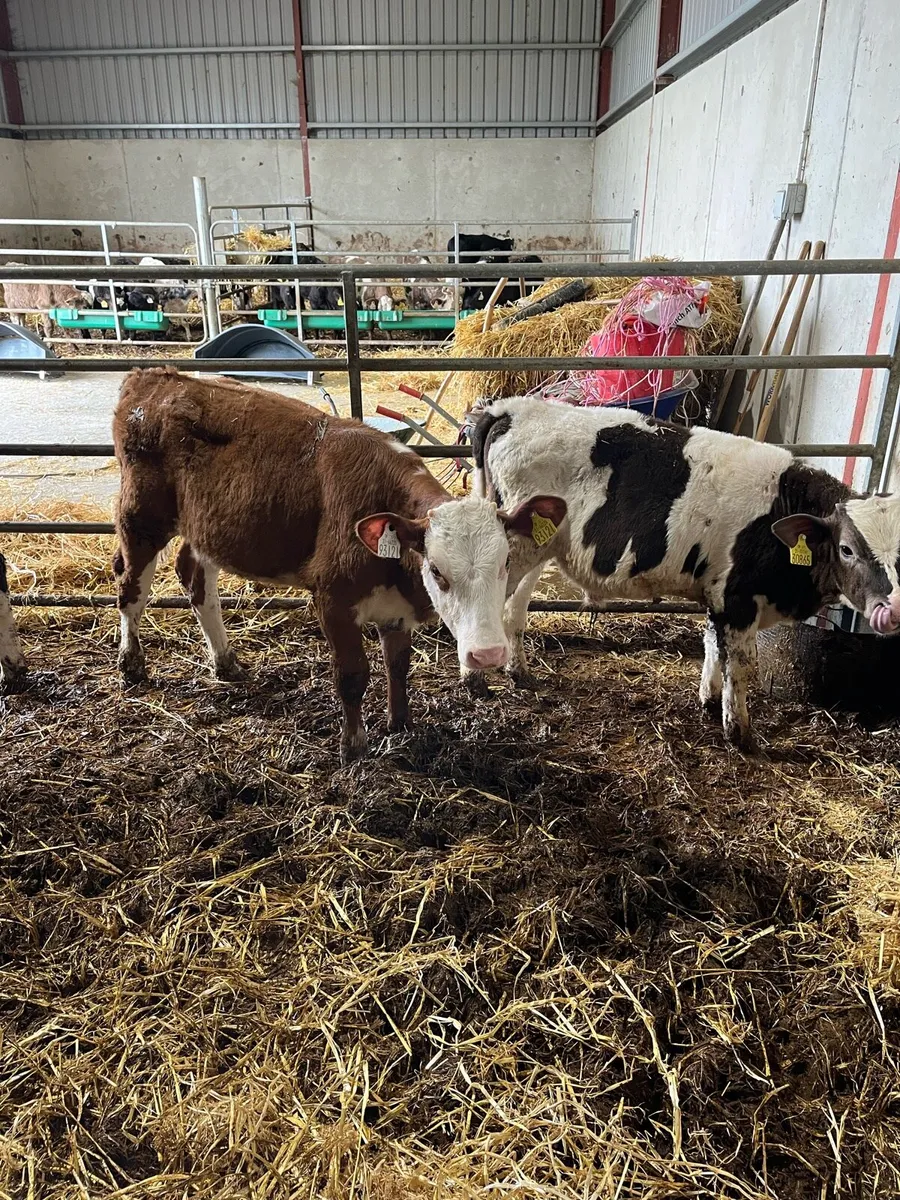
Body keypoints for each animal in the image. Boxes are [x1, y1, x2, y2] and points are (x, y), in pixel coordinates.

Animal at [111, 369, 559, 763]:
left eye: (505, 563)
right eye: (436, 570)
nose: (487, 654)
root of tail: (155, 376)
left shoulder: (397, 610)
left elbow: (398, 668)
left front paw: (401, 727)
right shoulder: (333, 600)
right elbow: (353, 675)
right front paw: (354, 746)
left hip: (205, 527)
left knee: (195, 578)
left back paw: (225, 661)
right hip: (141, 517)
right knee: (131, 589)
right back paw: (131, 664)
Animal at [468, 395, 900, 751]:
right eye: (847, 549)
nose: (890, 610)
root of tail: (510, 408)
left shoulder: (716, 595)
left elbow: (711, 646)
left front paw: (709, 703)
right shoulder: (738, 599)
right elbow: (741, 664)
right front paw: (740, 734)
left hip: (535, 550)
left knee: (513, 611)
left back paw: (519, 674)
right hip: (515, 550)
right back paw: (476, 683)